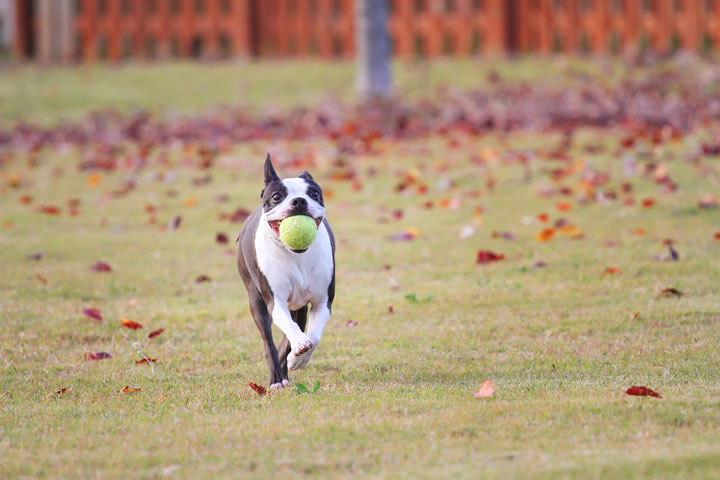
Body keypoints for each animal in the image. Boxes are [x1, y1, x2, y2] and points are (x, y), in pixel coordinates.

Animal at [238, 156, 336, 388]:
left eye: (314, 193)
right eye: (276, 196)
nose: (299, 201)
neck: (296, 255)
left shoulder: (322, 302)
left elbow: (314, 337)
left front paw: (298, 359)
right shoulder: (276, 302)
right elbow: (290, 331)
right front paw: (299, 344)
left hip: (298, 308)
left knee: (288, 337)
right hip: (256, 300)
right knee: (269, 342)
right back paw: (277, 378)